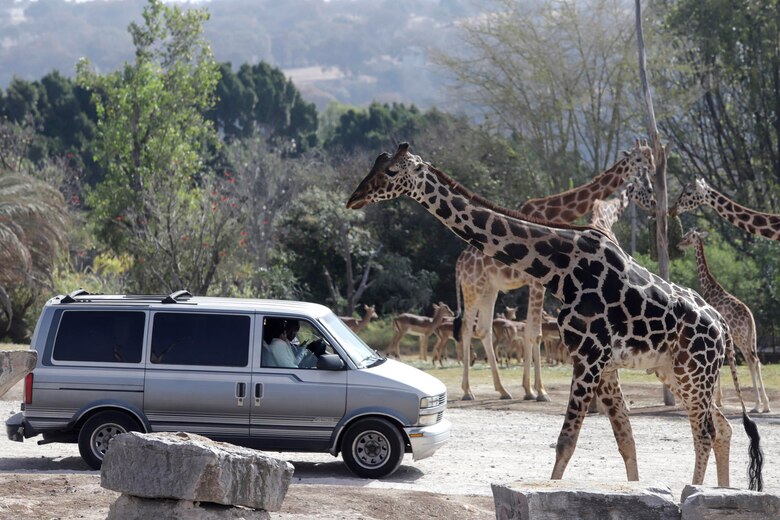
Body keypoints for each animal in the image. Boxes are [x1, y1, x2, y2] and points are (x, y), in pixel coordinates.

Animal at [453, 145, 657, 401]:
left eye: (650, 160)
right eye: (640, 161)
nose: (654, 197)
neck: (554, 214)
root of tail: (460, 264)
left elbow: (534, 332)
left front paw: (529, 389)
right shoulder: (537, 282)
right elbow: (534, 333)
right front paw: (538, 391)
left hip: (491, 288)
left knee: (483, 329)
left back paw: (502, 390)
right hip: (473, 286)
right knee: (466, 327)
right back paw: (467, 391)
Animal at [677, 229, 771, 413]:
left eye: (687, 237)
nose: (678, 244)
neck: (709, 287)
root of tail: (750, 318)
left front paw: (717, 400)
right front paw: (717, 399)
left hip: (740, 338)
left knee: (751, 361)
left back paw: (757, 405)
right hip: (752, 338)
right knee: (757, 360)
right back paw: (765, 405)